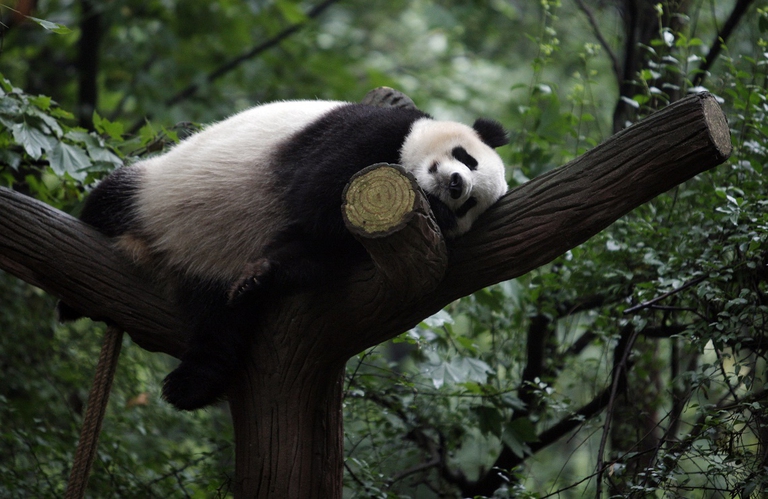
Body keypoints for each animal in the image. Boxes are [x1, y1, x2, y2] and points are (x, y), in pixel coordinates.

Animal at [59, 100, 509, 411]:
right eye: (467, 158)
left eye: (468, 206)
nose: (456, 184)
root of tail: (164, 259)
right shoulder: (367, 136)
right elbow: (316, 194)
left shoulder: (350, 248)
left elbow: (315, 249)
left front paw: (264, 273)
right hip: (152, 191)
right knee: (111, 199)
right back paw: (71, 303)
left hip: (213, 273)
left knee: (222, 326)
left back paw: (190, 385)